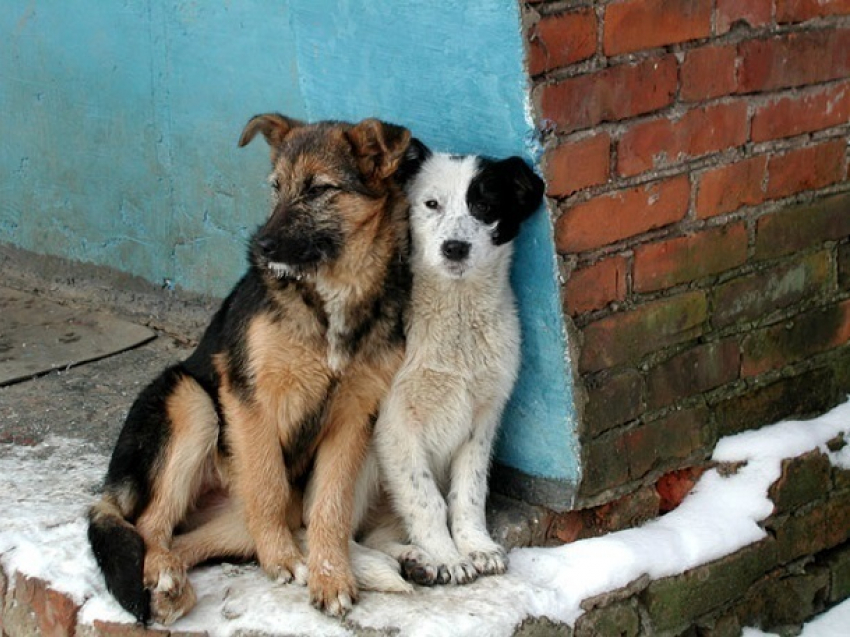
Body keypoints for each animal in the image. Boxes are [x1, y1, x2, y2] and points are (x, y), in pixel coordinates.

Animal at [87, 113, 414, 620]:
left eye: (319, 189)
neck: (331, 296)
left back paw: (172, 584)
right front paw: (283, 557)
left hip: (230, 518)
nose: (260, 247)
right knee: (148, 523)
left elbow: (331, 505)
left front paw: (329, 575)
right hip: (193, 403)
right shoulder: (248, 395)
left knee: (186, 538)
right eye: (276, 188)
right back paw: (163, 575)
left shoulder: (354, 417)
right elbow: (268, 484)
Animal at [352, 140, 544, 588]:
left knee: (375, 533)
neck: (456, 318)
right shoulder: (395, 421)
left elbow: (467, 494)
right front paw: (447, 556)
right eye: (431, 204)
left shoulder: (483, 419)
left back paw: (412, 560)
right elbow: (425, 500)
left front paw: (475, 546)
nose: (454, 247)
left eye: (484, 206)